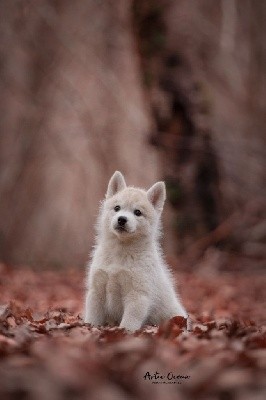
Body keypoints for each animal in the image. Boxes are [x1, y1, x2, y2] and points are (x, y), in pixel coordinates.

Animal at [84, 171, 188, 332]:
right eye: (117, 208)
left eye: (137, 212)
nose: (121, 219)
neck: (120, 252)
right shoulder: (96, 290)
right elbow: (92, 317)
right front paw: (90, 328)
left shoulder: (137, 295)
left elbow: (129, 322)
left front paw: (124, 332)